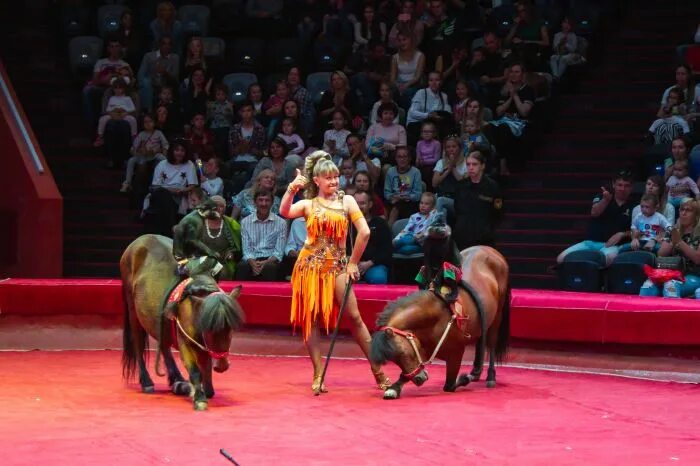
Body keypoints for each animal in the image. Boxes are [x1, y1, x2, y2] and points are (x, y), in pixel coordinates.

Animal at [122, 235, 246, 410]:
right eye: (209, 329)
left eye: (230, 329)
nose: (222, 366)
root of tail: (139, 241)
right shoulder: (185, 343)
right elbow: (195, 371)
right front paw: (199, 397)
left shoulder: (204, 348)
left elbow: (206, 371)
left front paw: (201, 389)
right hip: (133, 311)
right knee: (138, 344)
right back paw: (147, 381)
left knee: (164, 344)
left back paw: (177, 381)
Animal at [370, 246, 512, 398]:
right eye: (394, 359)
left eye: (403, 353)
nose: (419, 380)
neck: (435, 320)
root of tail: (488, 249)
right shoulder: (421, 350)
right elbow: (408, 373)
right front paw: (394, 388)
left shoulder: (456, 354)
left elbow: (449, 386)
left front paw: (467, 377)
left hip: (498, 314)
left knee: (491, 342)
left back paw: (489, 376)